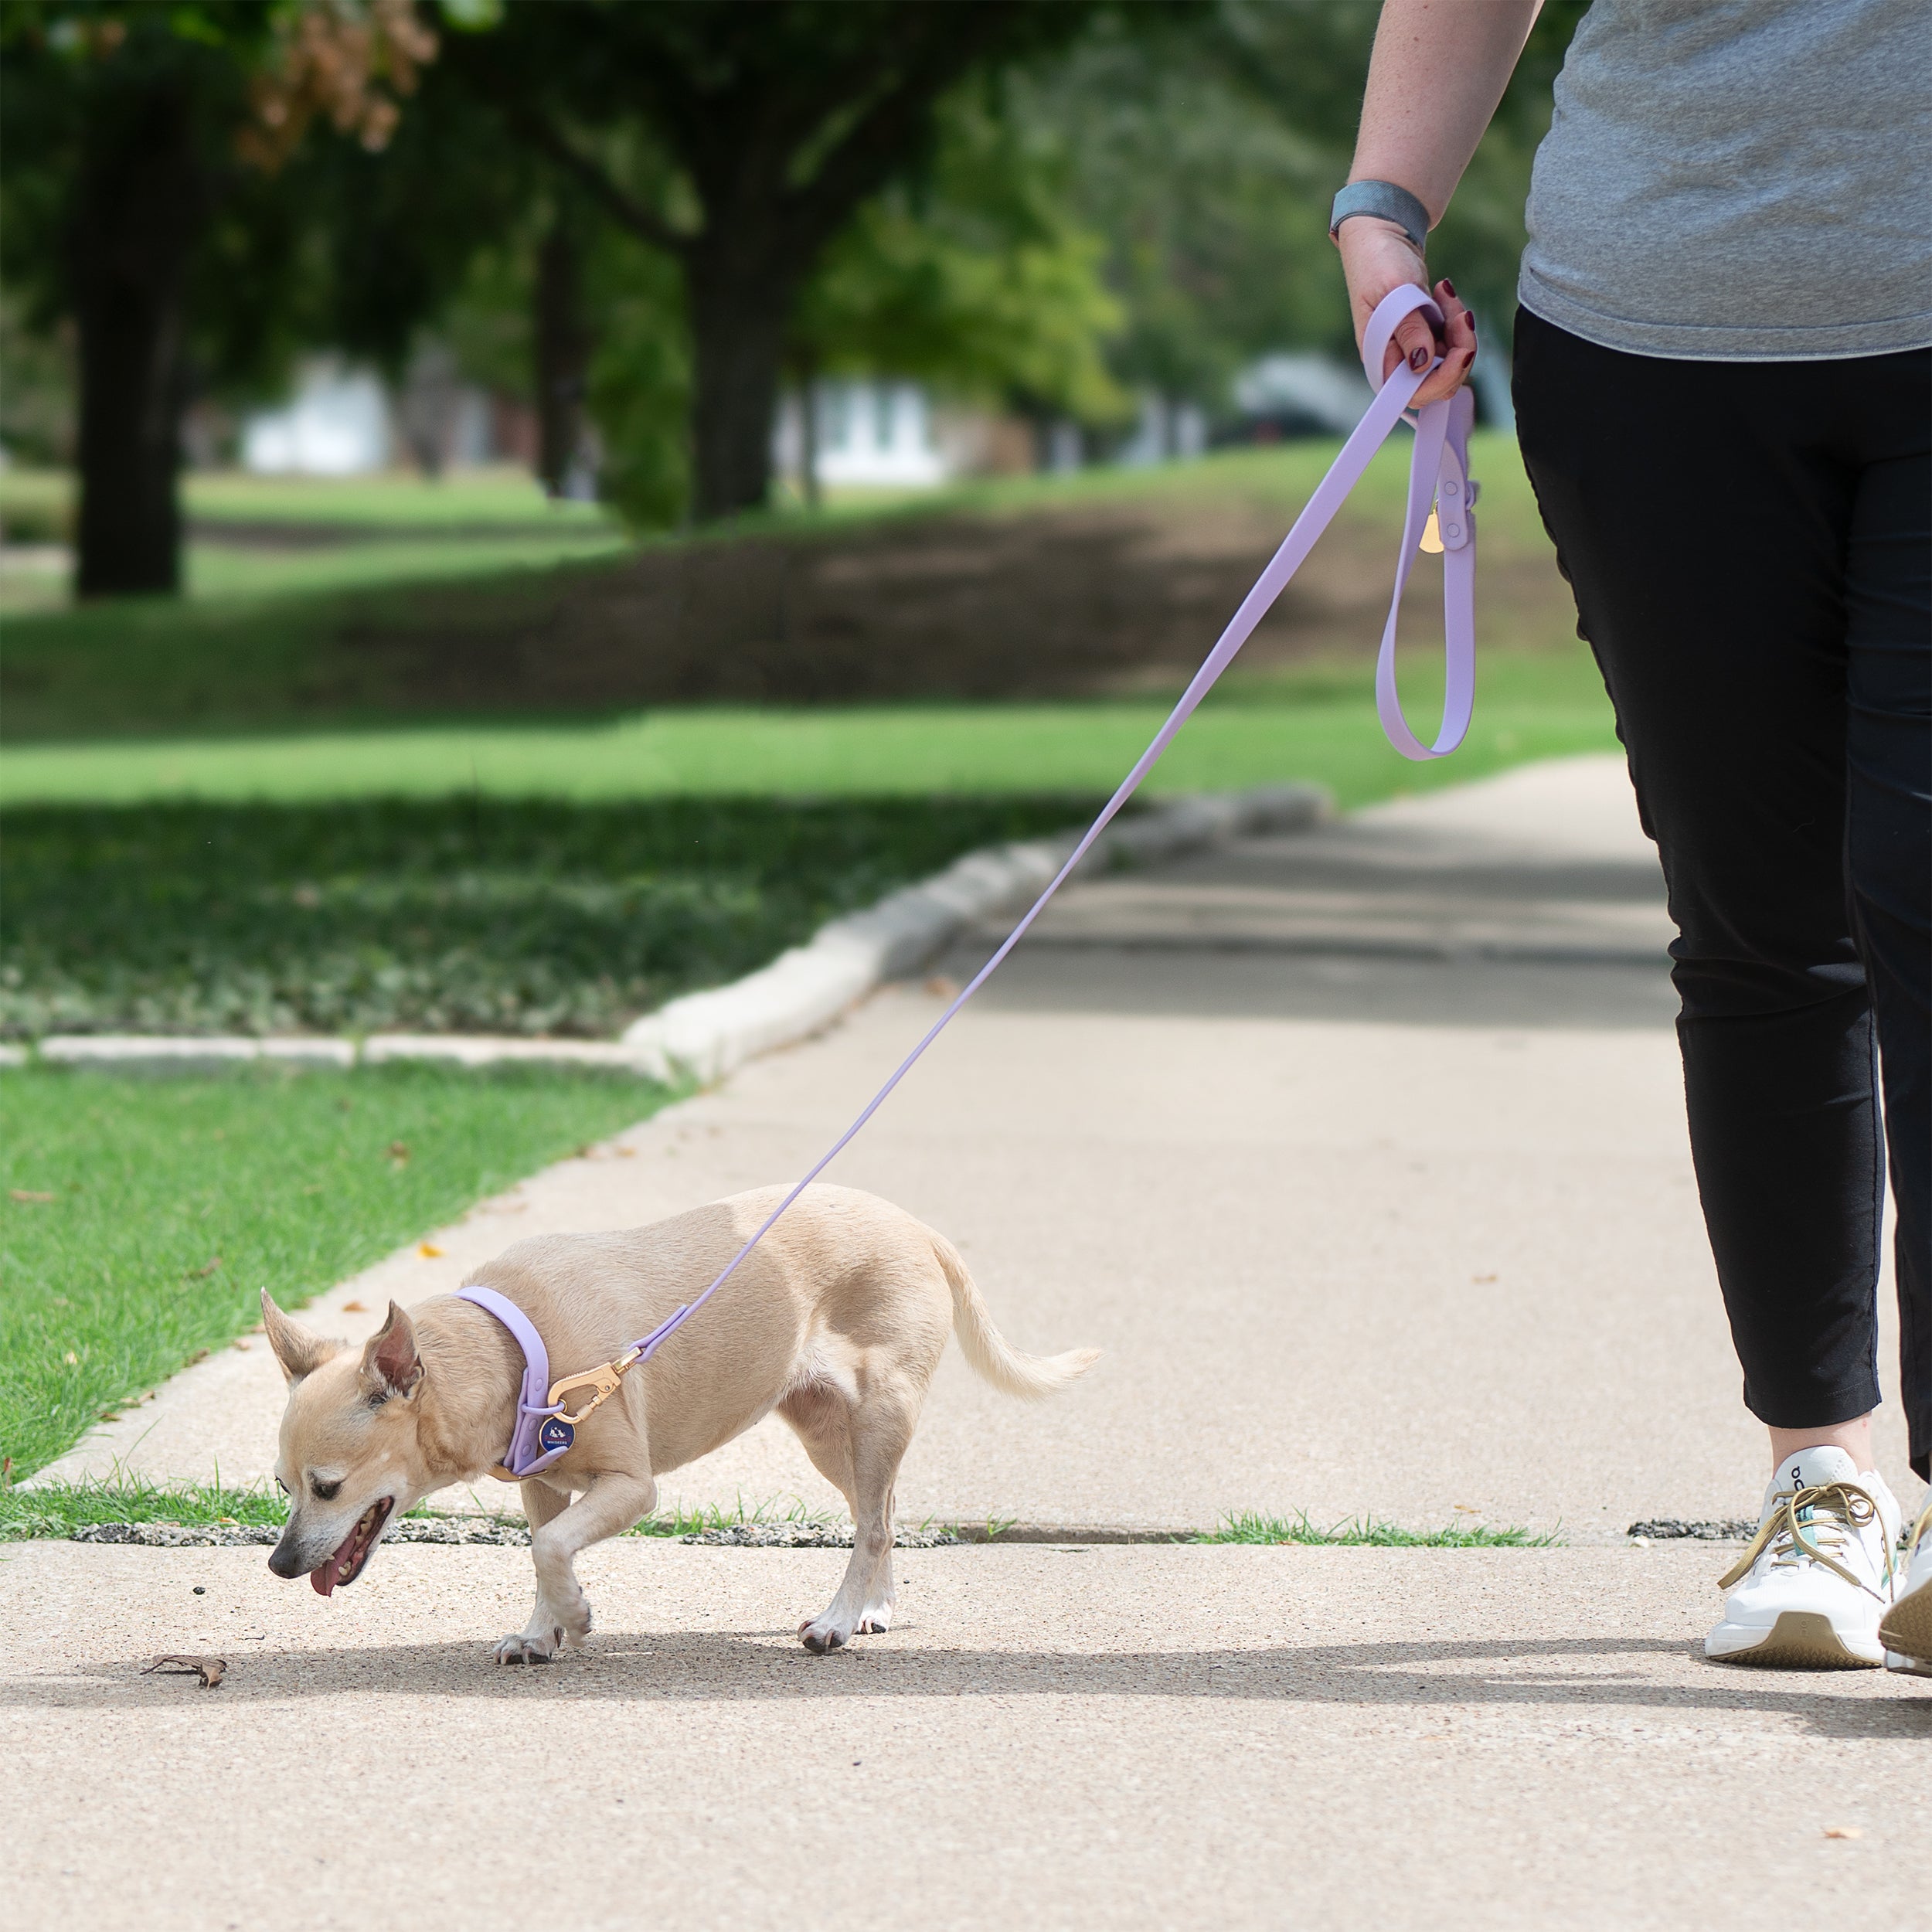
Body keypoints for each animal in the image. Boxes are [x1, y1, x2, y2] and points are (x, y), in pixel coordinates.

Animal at [263, 1175, 1097, 1662]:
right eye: (282, 1488)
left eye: (328, 1487)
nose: (278, 1565)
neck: (512, 1349)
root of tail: (917, 1227)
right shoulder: (542, 1484)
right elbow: (542, 1549)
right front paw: (539, 1632)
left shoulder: (631, 1488)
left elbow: (550, 1550)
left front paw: (576, 1615)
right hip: (831, 1437)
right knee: (881, 1511)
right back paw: (872, 1607)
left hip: (876, 1418)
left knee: (871, 1525)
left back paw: (835, 1620)